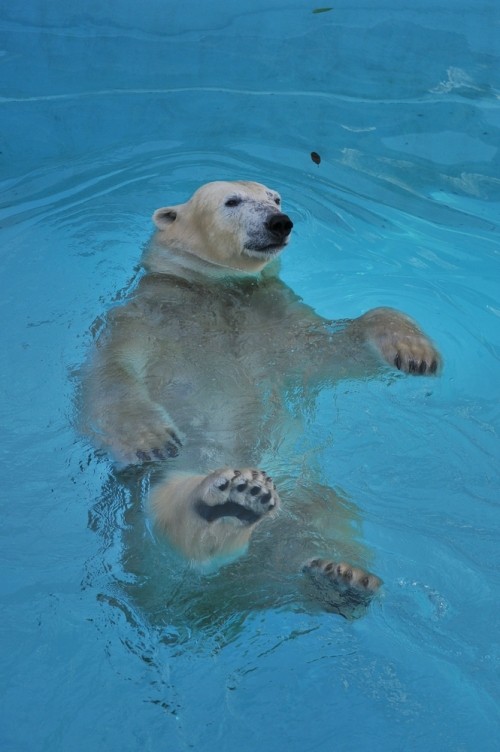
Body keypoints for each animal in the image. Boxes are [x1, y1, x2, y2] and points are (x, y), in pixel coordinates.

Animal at [83, 181, 442, 616]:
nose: (279, 222)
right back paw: (230, 504)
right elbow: (109, 369)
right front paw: (151, 439)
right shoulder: (146, 314)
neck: (214, 292)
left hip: (304, 492)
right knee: (171, 507)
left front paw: (416, 352)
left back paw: (340, 577)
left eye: (275, 197)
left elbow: (332, 348)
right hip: (155, 494)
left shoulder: (274, 317)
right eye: (232, 201)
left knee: (326, 518)